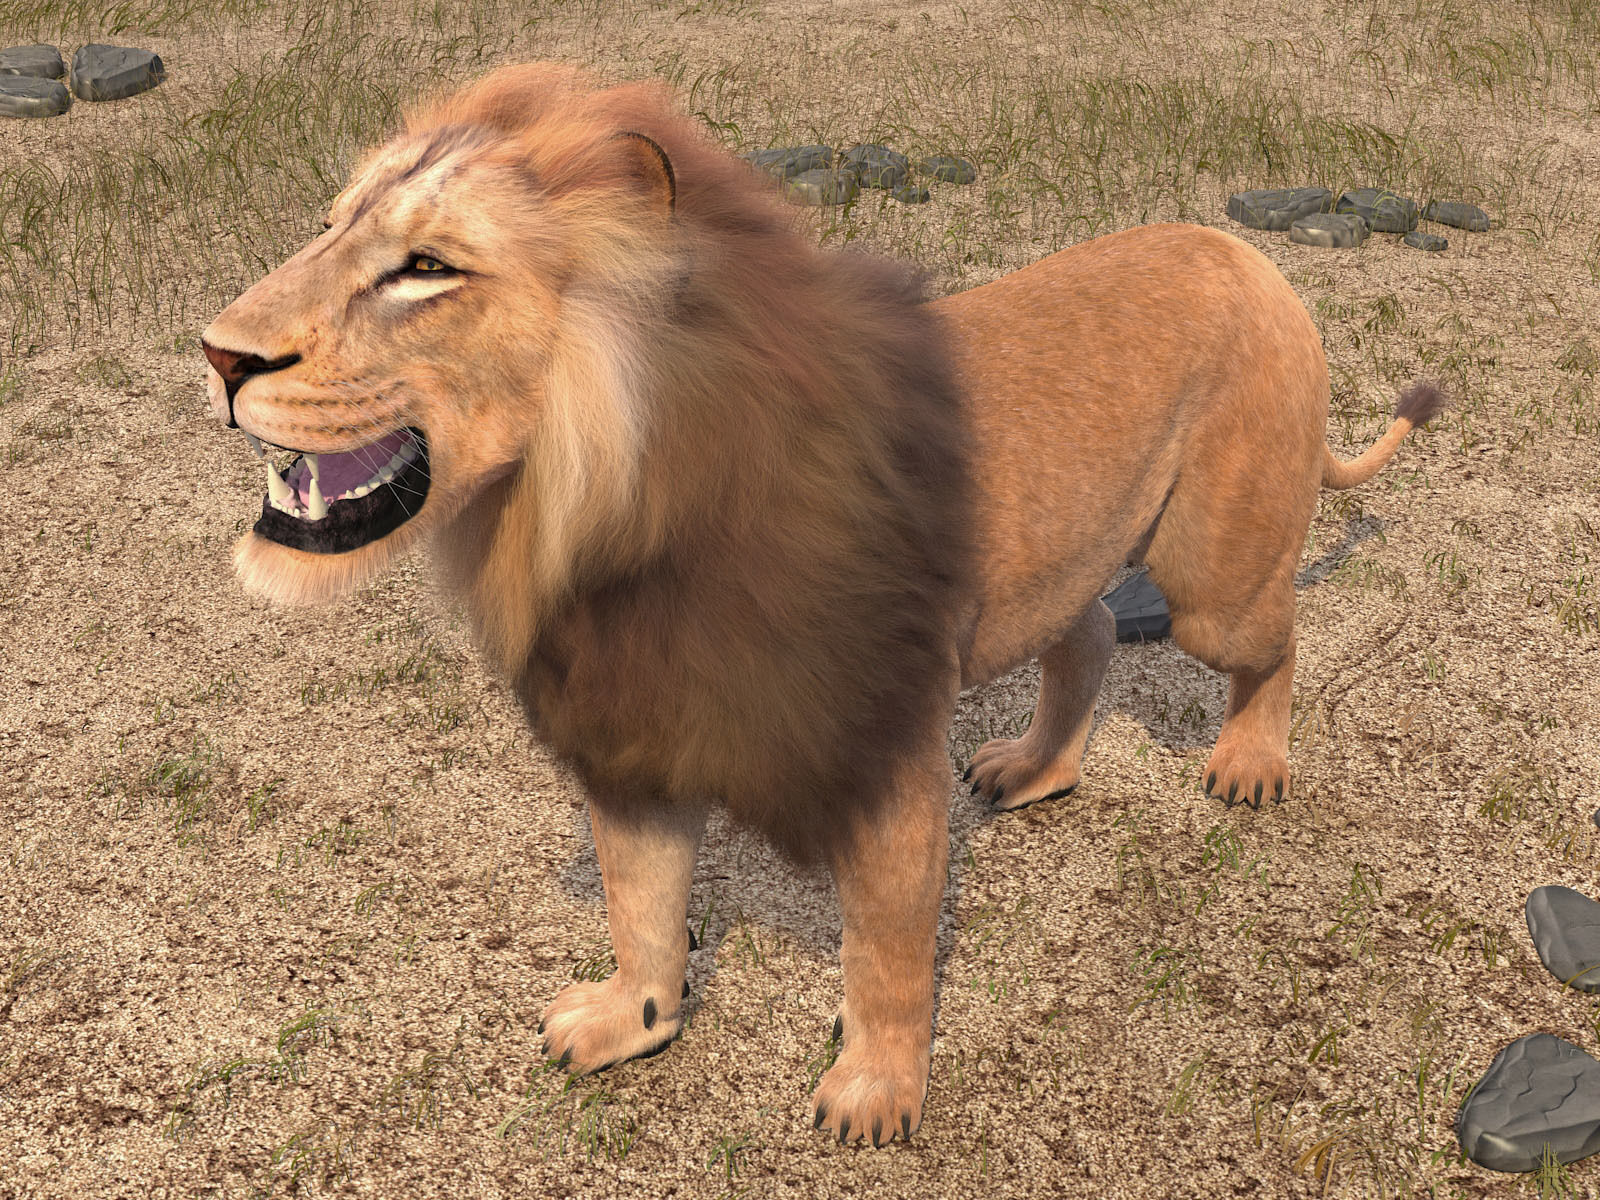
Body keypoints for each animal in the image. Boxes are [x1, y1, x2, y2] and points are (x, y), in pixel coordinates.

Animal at [200, 62, 1445, 1146]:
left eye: (424, 267)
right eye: (330, 228)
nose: (217, 356)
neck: (606, 526)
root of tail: (1239, 246)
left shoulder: (881, 754)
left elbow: (884, 952)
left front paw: (875, 1094)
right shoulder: (631, 740)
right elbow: (640, 906)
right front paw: (629, 1023)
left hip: (1210, 579)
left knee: (1271, 642)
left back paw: (1250, 763)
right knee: (1089, 626)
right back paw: (1034, 769)